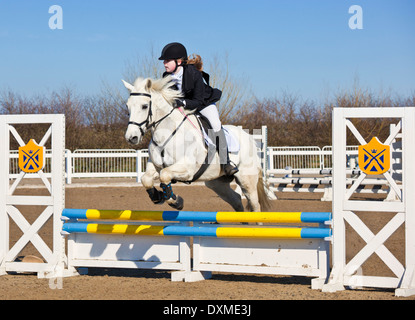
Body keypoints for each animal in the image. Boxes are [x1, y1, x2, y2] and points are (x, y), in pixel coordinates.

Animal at [123, 76, 272, 211]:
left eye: (144, 106)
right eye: (128, 107)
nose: (131, 137)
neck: (167, 134)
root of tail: (250, 138)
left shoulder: (187, 169)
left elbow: (164, 175)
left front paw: (176, 201)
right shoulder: (155, 166)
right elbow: (146, 179)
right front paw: (157, 197)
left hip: (247, 180)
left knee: (255, 205)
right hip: (217, 183)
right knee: (236, 200)